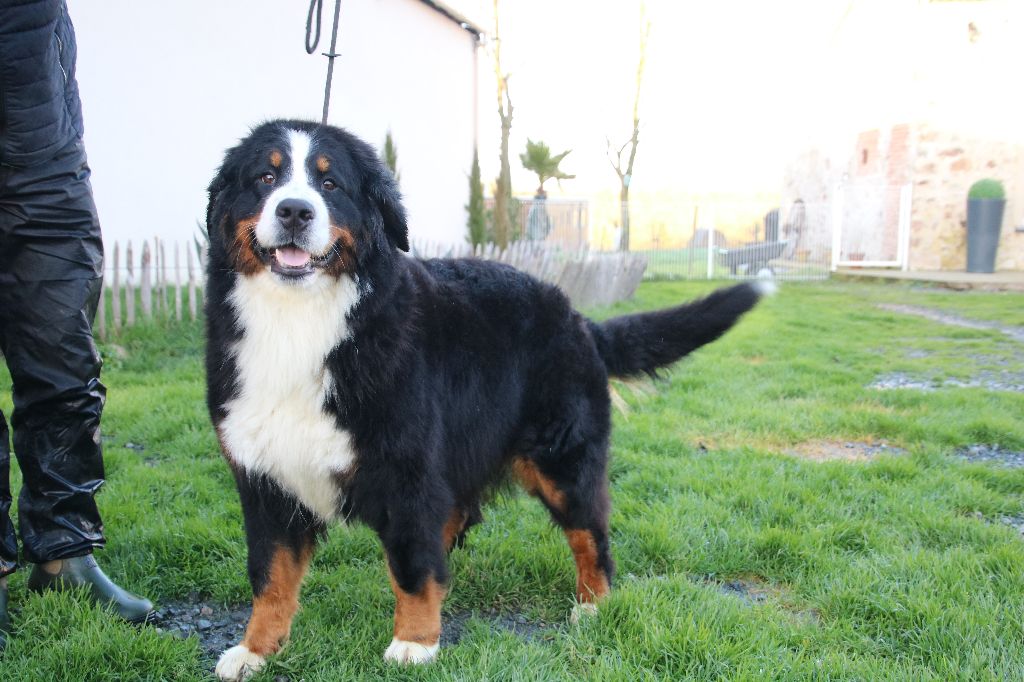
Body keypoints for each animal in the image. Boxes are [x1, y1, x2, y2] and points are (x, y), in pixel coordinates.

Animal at [203, 119, 770, 675]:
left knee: (591, 536)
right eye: (265, 178)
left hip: (562, 461)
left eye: (329, 183)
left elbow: (411, 565)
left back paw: (593, 605)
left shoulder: (408, 474)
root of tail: (576, 317)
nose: (294, 211)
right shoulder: (265, 479)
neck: (299, 324)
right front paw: (256, 650)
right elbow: (270, 576)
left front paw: (414, 643)